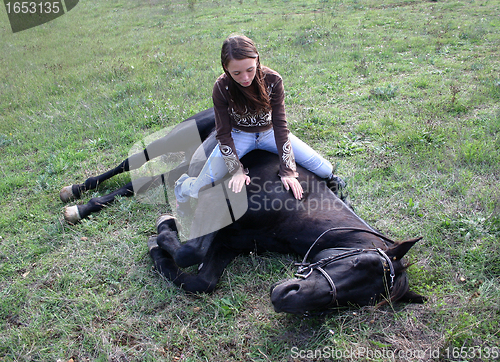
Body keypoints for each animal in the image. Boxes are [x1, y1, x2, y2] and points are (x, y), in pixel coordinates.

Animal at [60, 109, 424, 312]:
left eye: (355, 302)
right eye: (358, 263)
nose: (285, 299)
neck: (301, 205)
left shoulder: (229, 244)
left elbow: (201, 279)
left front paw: (160, 249)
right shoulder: (217, 203)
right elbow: (190, 251)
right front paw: (163, 230)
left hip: (184, 164)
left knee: (148, 181)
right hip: (172, 141)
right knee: (130, 164)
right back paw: (76, 195)